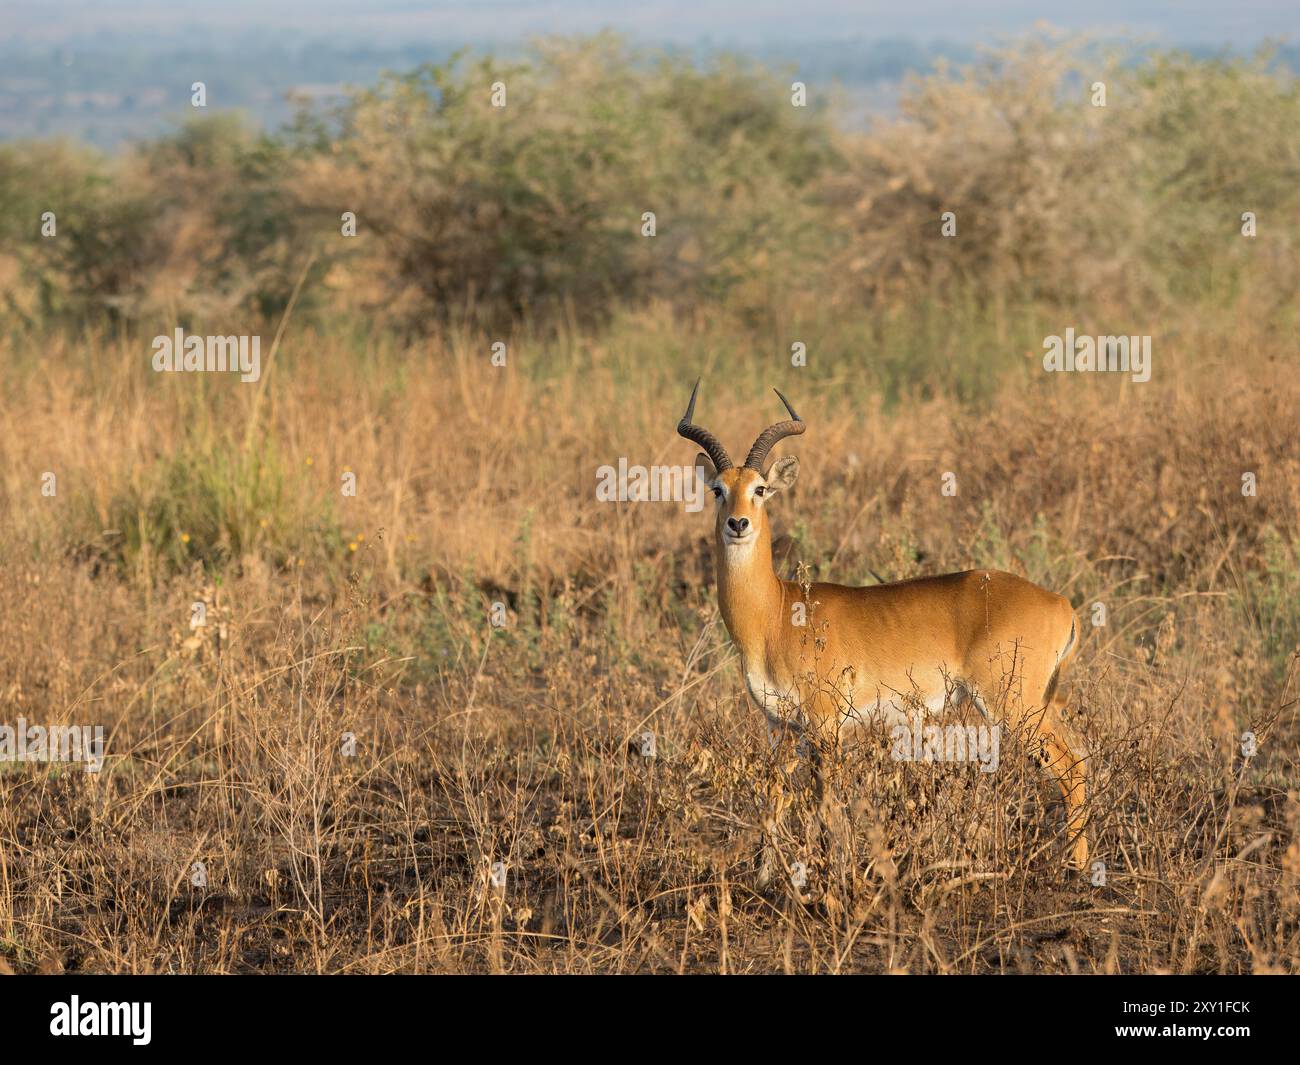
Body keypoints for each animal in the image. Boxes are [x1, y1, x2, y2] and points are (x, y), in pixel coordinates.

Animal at [676, 382, 1092, 868]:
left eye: (760, 489)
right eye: (718, 490)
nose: (737, 523)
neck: (776, 614)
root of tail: (1062, 604)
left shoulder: (826, 725)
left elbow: (827, 808)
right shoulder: (780, 726)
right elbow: (772, 803)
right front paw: (763, 875)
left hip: (1012, 704)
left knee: (1072, 766)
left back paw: (1077, 869)